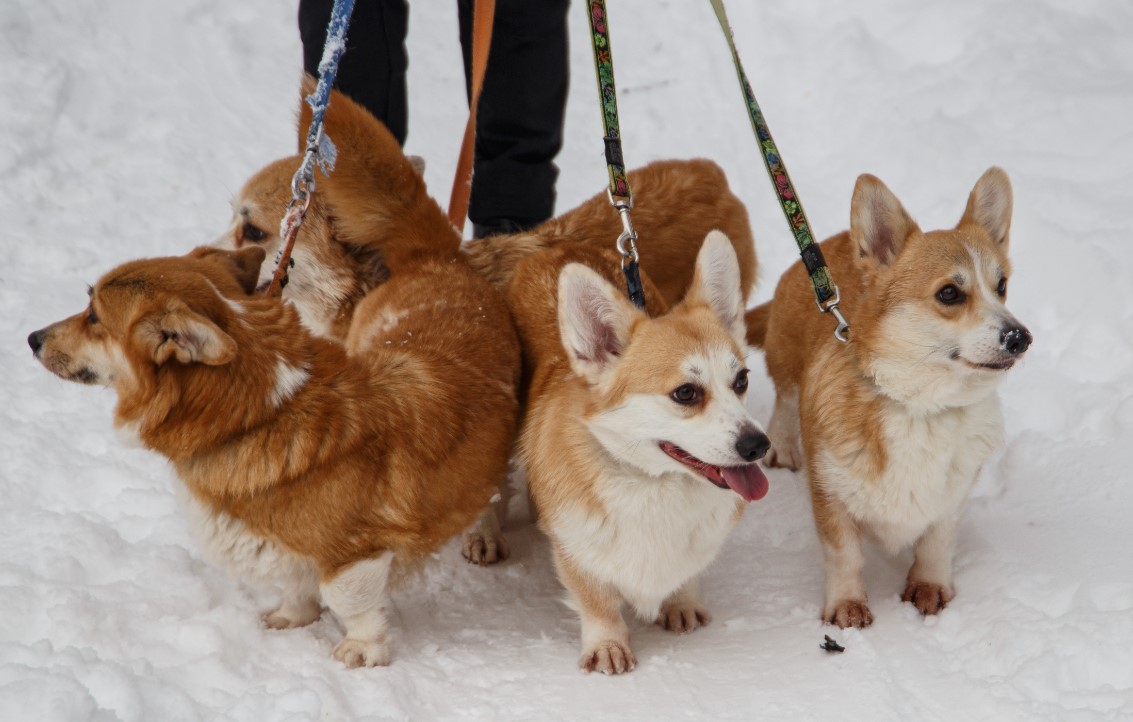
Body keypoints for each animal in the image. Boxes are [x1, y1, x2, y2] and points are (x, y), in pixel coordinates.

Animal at [27, 198, 518, 666]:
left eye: (93, 315)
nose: (32, 338)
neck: (261, 414)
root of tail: (438, 260)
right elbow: (296, 583)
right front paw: (292, 617)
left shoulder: (354, 553)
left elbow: (349, 601)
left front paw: (362, 650)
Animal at [514, 232, 770, 675]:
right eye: (685, 393)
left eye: (741, 380)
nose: (758, 446)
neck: (656, 484)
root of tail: (556, 243)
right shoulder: (576, 552)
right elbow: (598, 605)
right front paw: (608, 646)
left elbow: (687, 573)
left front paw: (682, 604)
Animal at [747, 167, 1033, 625]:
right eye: (949, 293)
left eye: (1001, 286)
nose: (1020, 337)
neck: (922, 407)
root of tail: (826, 244)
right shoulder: (830, 496)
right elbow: (844, 556)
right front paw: (846, 607)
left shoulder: (951, 499)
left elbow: (936, 544)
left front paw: (930, 587)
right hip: (786, 361)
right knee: (785, 399)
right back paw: (783, 447)